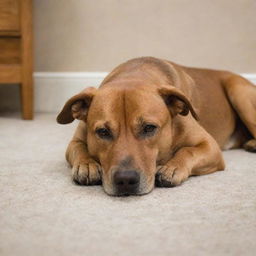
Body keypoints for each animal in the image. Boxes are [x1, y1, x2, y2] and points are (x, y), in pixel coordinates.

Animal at [57, 56, 256, 196]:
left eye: (149, 128)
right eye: (103, 132)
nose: (125, 180)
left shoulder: (210, 146)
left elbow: (188, 151)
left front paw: (172, 167)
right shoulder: (75, 142)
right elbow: (79, 149)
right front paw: (87, 164)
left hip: (238, 92)